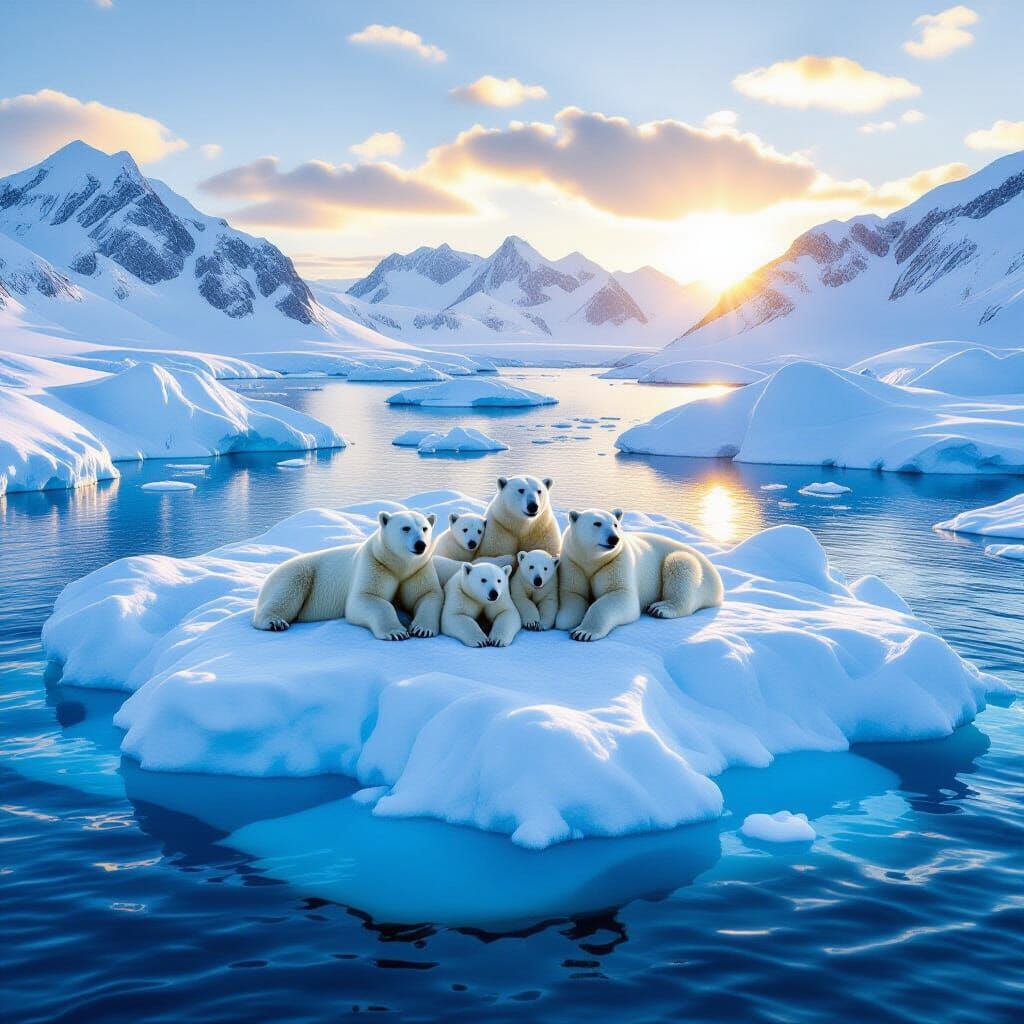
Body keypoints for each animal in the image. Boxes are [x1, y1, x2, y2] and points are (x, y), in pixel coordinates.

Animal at [252, 509, 444, 641]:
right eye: (405, 528)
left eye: (425, 528)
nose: (420, 544)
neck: (397, 565)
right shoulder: (374, 564)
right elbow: (365, 597)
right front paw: (396, 633)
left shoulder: (418, 569)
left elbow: (428, 594)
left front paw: (422, 629)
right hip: (297, 573)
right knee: (286, 593)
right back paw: (274, 622)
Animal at [555, 508, 723, 642]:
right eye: (597, 523)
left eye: (615, 524)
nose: (614, 538)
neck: (593, 561)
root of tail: (719, 583)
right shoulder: (573, 562)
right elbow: (573, 593)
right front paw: (565, 620)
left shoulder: (617, 562)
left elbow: (620, 596)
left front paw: (582, 632)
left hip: (699, 575)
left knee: (679, 563)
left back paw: (660, 608)